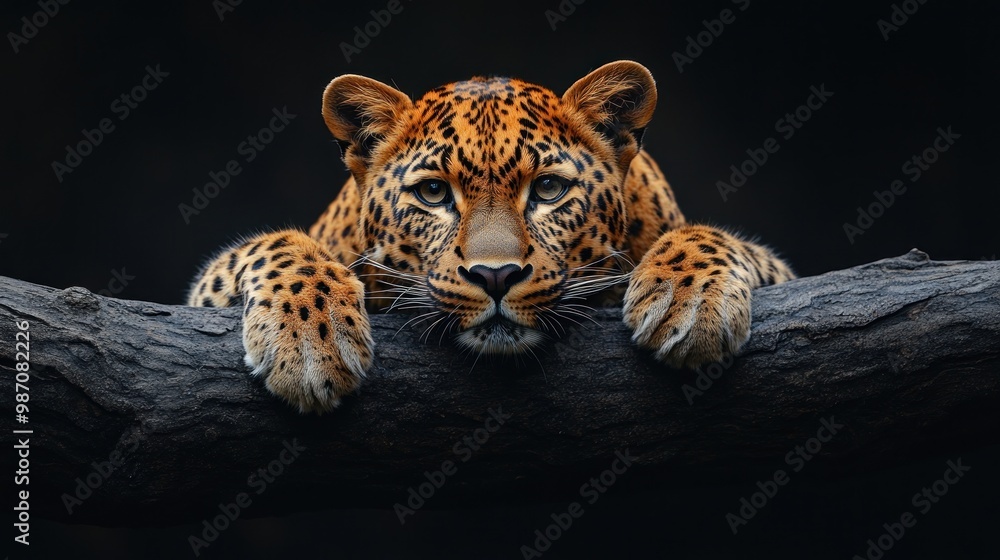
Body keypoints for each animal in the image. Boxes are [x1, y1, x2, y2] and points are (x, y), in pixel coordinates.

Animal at [187, 61, 795, 413]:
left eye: (548, 188)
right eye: (433, 193)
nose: (496, 276)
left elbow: (718, 239)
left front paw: (692, 307)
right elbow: (276, 245)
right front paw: (309, 345)